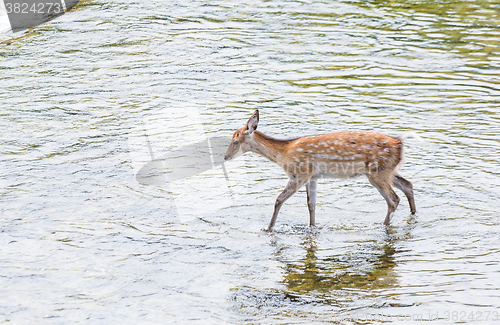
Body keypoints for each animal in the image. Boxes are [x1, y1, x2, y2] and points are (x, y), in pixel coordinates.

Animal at [225, 109, 416, 230]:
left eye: (235, 141)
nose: (225, 157)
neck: (283, 155)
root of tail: (400, 143)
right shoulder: (313, 177)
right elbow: (311, 204)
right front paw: (312, 226)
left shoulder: (299, 173)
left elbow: (278, 200)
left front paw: (268, 229)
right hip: (388, 170)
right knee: (408, 184)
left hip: (377, 172)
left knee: (393, 199)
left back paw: (382, 226)